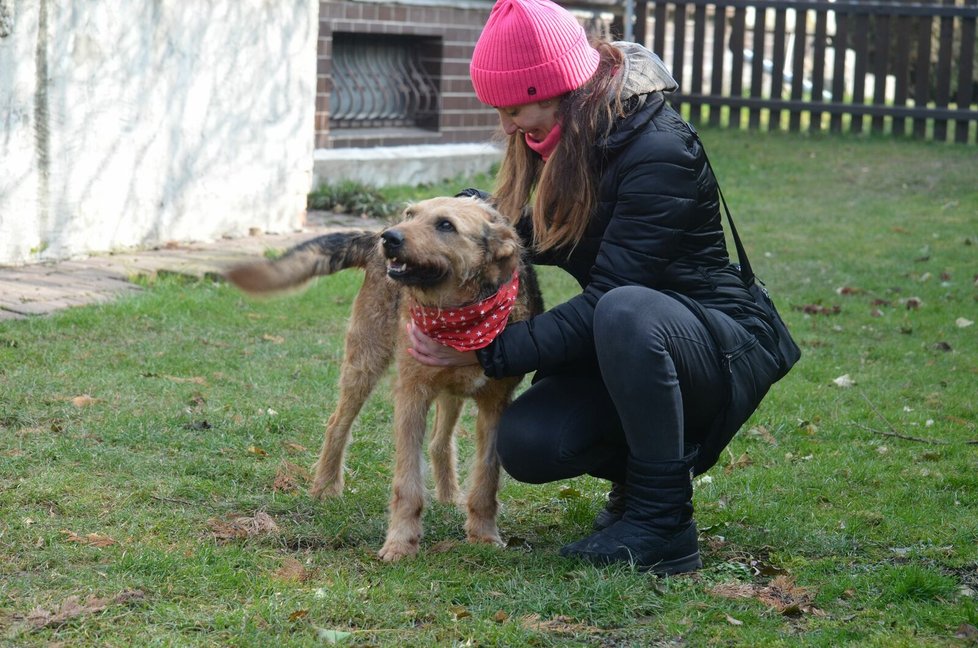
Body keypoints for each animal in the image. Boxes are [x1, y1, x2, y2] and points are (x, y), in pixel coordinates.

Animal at [227, 195, 540, 560]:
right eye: (410, 214)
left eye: (445, 225)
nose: (390, 238)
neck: (458, 315)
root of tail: (372, 233)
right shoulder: (411, 396)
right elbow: (407, 484)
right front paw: (401, 543)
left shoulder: (495, 406)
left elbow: (487, 480)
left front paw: (484, 535)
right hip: (365, 361)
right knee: (337, 424)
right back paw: (326, 486)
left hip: (448, 392)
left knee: (440, 441)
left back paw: (450, 496)